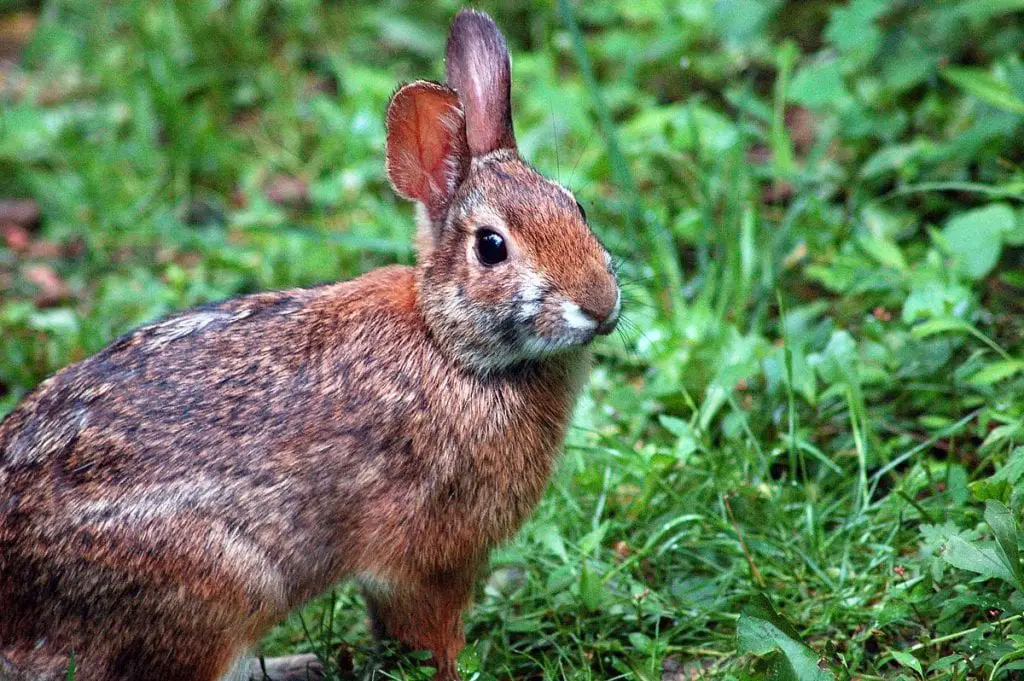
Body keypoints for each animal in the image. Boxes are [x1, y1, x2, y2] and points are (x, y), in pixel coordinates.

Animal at [0, 9, 618, 679]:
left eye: (576, 207)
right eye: (491, 247)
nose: (601, 305)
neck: (451, 347)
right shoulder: (423, 557)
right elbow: (431, 632)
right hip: (218, 586)